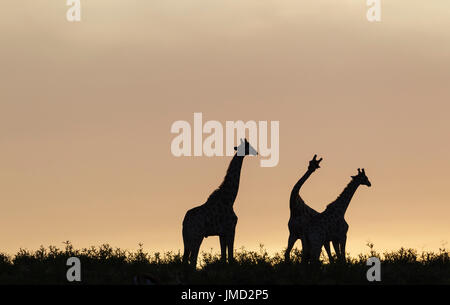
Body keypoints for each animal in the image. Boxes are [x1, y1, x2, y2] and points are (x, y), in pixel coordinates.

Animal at [180, 138, 256, 266]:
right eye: (248, 145)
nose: (256, 152)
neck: (230, 199)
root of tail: (185, 221)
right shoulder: (231, 229)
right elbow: (230, 256)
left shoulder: (222, 233)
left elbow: (223, 256)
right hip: (197, 236)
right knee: (192, 260)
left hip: (186, 239)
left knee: (186, 259)